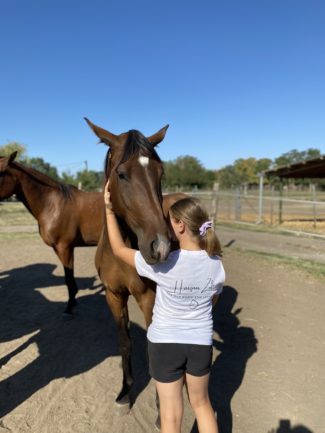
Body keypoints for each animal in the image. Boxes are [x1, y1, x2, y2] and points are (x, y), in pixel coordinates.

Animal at [0, 152, 104, 314]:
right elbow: (68, 277)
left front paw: (69, 306)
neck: (52, 205)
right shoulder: (59, 249)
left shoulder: (65, 247)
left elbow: (68, 277)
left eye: (0, 173)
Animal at [85, 118, 185, 408]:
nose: (160, 246)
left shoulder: (148, 296)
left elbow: (154, 344)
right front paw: (125, 391)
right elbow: (125, 342)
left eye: (160, 173)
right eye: (121, 174)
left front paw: (162, 400)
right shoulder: (114, 295)